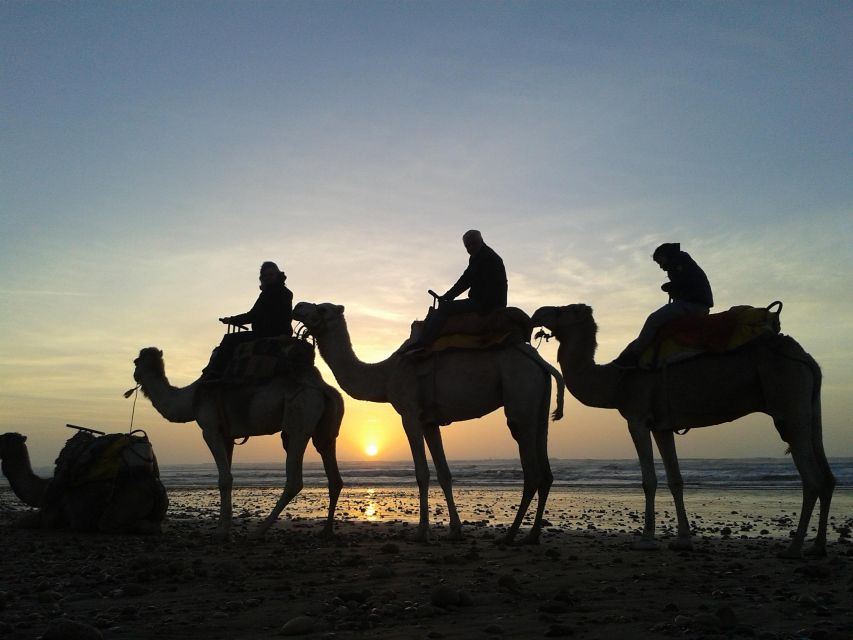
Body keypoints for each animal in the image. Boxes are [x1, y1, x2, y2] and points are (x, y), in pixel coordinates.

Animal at [0, 430, 166, 536]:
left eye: (6, 438)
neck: (42, 489)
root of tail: (154, 487)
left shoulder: (49, 514)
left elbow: (20, 522)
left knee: (108, 525)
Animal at [132, 348, 342, 536]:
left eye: (136, 361)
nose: (135, 375)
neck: (191, 399)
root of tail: (323, 388)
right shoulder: (228, 436)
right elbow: (227, 475)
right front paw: (222, 524)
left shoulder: (210, 429)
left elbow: (224, 478)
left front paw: (222, 530)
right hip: (326, 428)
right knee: (333, 473)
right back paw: (326, 530)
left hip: (300, 416)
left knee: (294, 478)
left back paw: (259, 530)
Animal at [292, 302, 564, 544]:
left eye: (322, 308)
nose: (298, 306)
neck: (385, 376)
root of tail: (539, 361)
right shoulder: (430, 422)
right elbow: (444, 473)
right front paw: (455, 530)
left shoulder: (410, 415)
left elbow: (422, 473)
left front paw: (422, 532)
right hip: (539, 405)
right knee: (545, 468)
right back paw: (532, 535)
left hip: (520, 392)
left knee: (531, 468)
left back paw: (511, 535)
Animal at [532, 302, 832, 556]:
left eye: (565, 310)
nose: (538, 312)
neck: (616, 380)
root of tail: (804, 356)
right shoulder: (662, 426)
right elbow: (675, 480)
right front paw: (683, 539)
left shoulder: (637, 418)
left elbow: (649, 480)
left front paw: (646, 539)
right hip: (809, 405)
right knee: (824, 469)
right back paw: (817, 546)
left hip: (787, 399)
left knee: (811, 477)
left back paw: (794, 547)